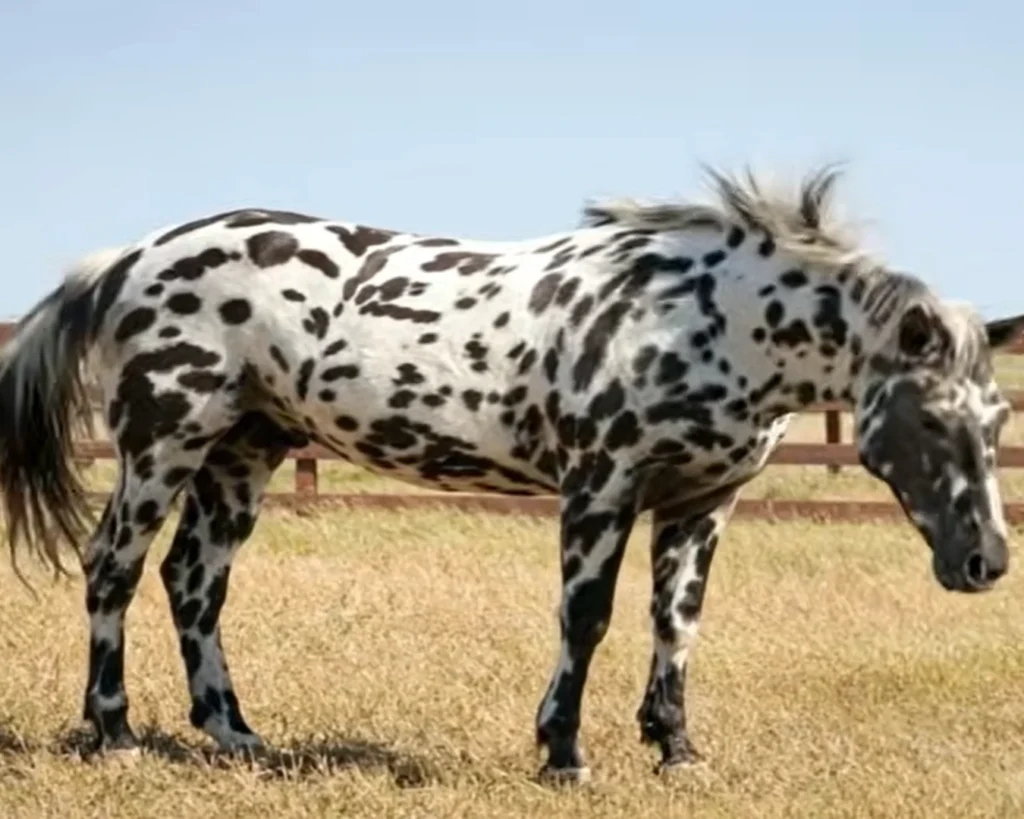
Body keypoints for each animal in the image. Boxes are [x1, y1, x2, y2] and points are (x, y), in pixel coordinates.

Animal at [0, 164, 1019, 784]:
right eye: (932, 417)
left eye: (997, 418)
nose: (985, 562)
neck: (713, 315)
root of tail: (127, 259)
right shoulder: (601, 485)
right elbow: (587, 616)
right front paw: (562, 752)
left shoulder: (701, 502)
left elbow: (677, 622)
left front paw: (677, 748)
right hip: (164, 445)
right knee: (115, 568)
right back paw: (116, 733)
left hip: (245, 453)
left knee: (194, 583)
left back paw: (238, 734)